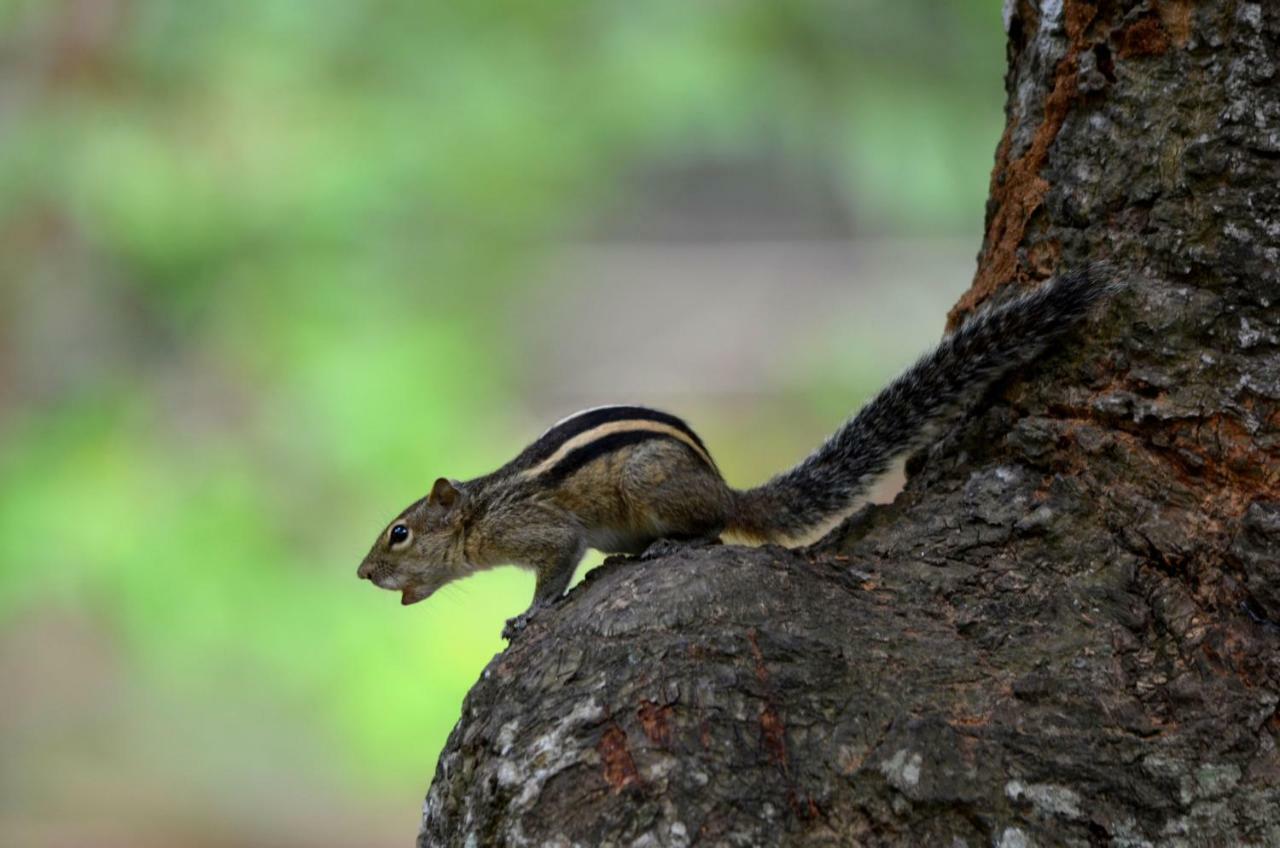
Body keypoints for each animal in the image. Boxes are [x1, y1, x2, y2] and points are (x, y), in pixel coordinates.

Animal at [358, 267, 1111, 637]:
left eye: (399, 532)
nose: (363, 574)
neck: (483, 511)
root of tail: (725, 485)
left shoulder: (545, 532)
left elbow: (554, 569)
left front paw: (531, 614)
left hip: (652, 485)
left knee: (716, 528)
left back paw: (669, 544)